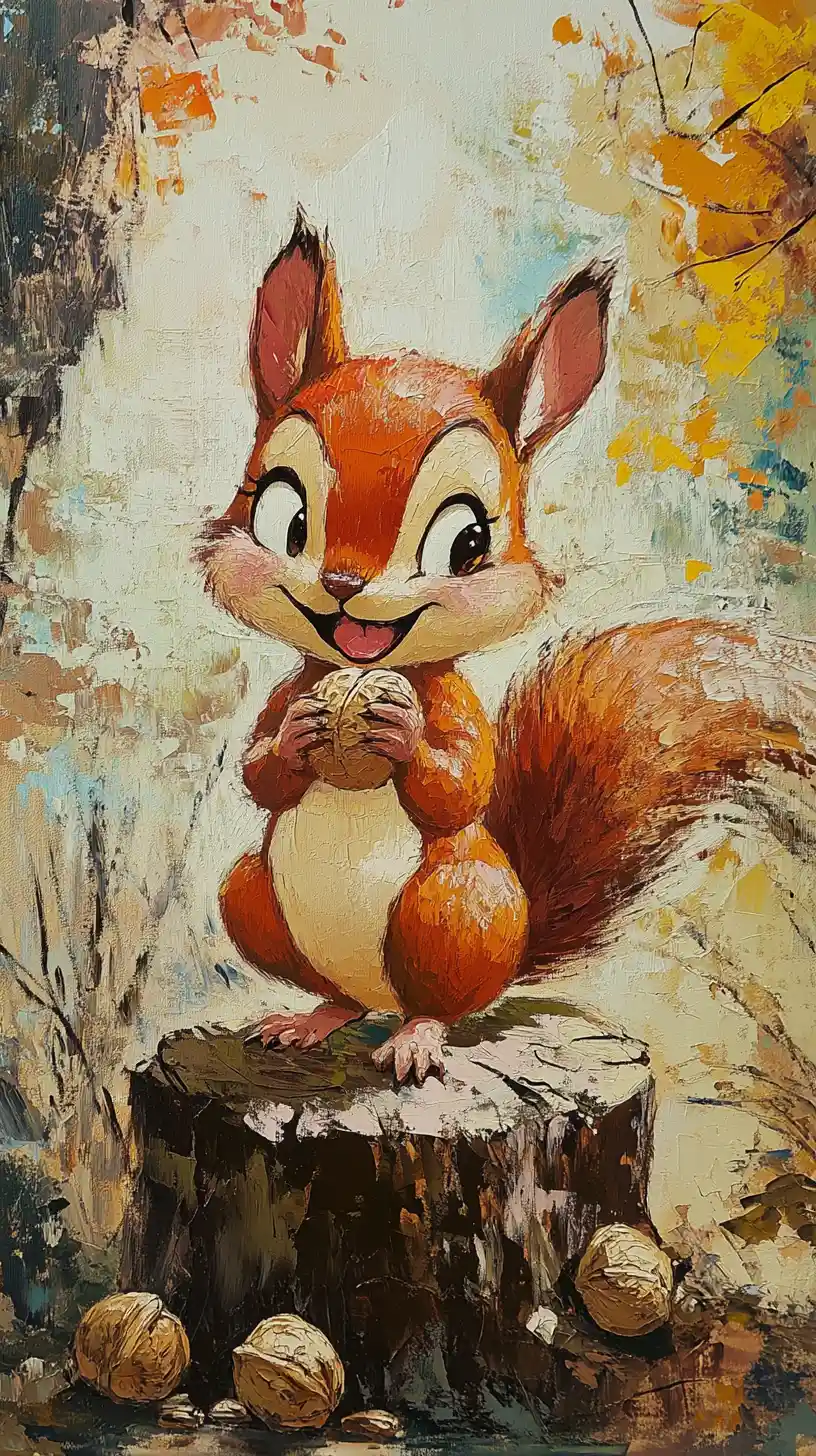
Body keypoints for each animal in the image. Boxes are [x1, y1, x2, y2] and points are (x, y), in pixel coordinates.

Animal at [197, 209, 812, 1085]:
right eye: (282, 514)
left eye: (466, 541)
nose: (343, 586)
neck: (358, 665)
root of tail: (514, 953)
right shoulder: (296, 687)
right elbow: (260, 773)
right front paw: (296, 735)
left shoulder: (455, 704)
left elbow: (460, 783)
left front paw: (400, 732)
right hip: (252, 894)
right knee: (331, 987)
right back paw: (311, 1019)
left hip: (456, 910)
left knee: (439, 997)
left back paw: (415, 1037)